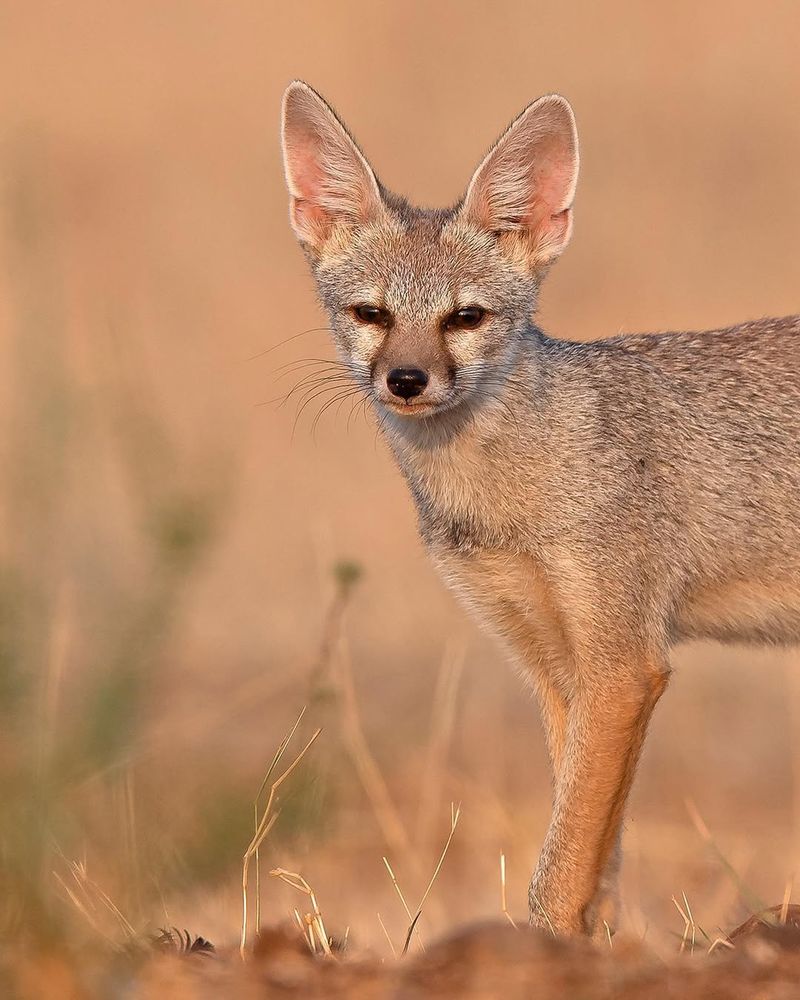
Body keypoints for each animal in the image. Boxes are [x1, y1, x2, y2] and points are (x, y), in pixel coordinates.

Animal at [276, 80, 800, 936]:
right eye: (371, 315)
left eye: (466, 318)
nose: (407, 380)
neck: (505, 503)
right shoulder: (558, 670)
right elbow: (596, 855)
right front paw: (591, 948)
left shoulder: (624, 666)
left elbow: (561, 866)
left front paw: (543, 944)